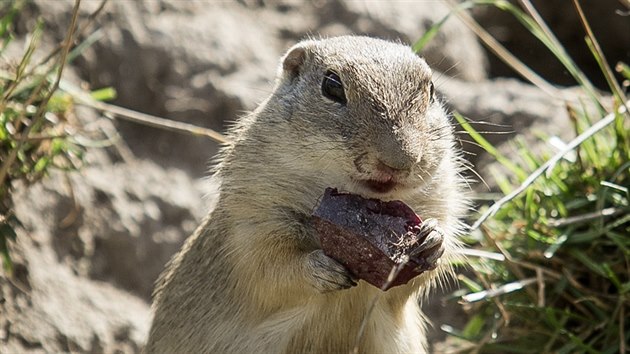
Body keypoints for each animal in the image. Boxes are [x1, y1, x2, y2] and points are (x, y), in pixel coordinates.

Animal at [147, 36, 470, 354]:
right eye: (332, 86)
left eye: (431, 90)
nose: (400, 161)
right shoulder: (253, 216)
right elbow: (269, 268)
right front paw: (321, 270)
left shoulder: (441, 198)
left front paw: (433, 239)